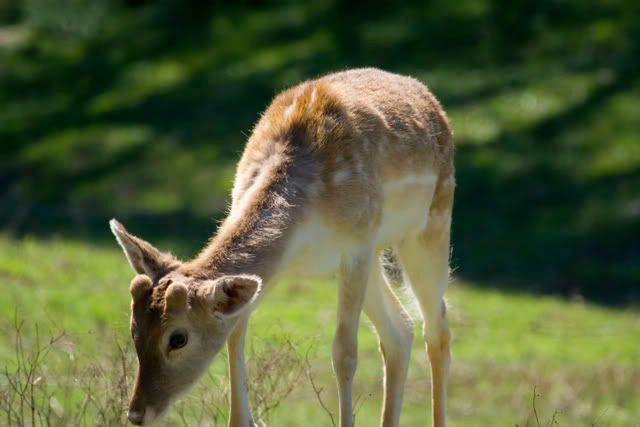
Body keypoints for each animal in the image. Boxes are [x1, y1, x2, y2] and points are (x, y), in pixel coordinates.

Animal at [110, 67, 456, 427]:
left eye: (178, 338)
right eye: (134, 329)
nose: (137, 413)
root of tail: (428, 96)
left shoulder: (357, 245)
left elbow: (344, 352)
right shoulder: (283, 263)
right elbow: (236, 329)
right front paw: (242, 419)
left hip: (431, 220)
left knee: (437, 328)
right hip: (373, 257)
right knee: (400, 331)